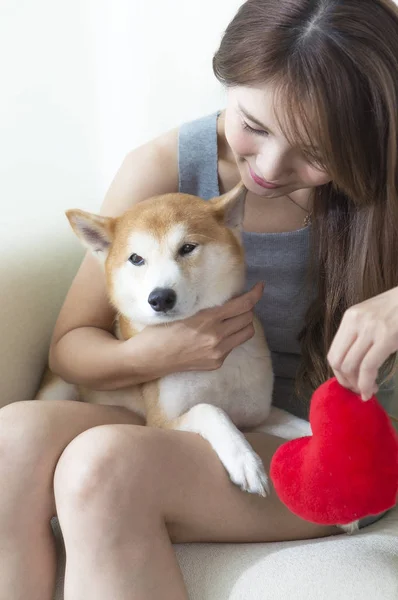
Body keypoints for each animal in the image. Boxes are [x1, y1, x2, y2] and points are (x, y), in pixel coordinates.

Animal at [37, 182, 276, 496]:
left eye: (187, 248)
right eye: (136, 258)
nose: (160, 298)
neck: (215, 370)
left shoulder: (260, 416)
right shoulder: (162, 421)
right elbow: (209, 409)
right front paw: (244, 459)